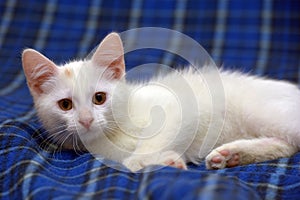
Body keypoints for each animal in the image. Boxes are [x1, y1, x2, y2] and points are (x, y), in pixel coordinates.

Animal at [22, 33, 298, 172]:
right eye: (65, 105)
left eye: (99, 98)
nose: (86, 120)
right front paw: (165, 160)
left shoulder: (177, 107)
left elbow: (144, 150)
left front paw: (149, 160)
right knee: (287, 145)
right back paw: (232, 155)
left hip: (264, 113)